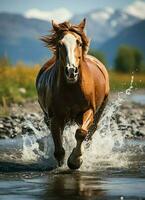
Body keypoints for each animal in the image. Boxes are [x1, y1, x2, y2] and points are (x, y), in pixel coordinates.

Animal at [35, 18, 109, 169]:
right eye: (60, 44)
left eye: (79, 42)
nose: (71, 71)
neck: (71, 89)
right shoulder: (55, 116)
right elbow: (58, 146)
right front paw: (61, 162)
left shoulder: (88, 110)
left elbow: (81, 133)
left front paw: (75, 160)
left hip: (100, 110)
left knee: (91, 132)